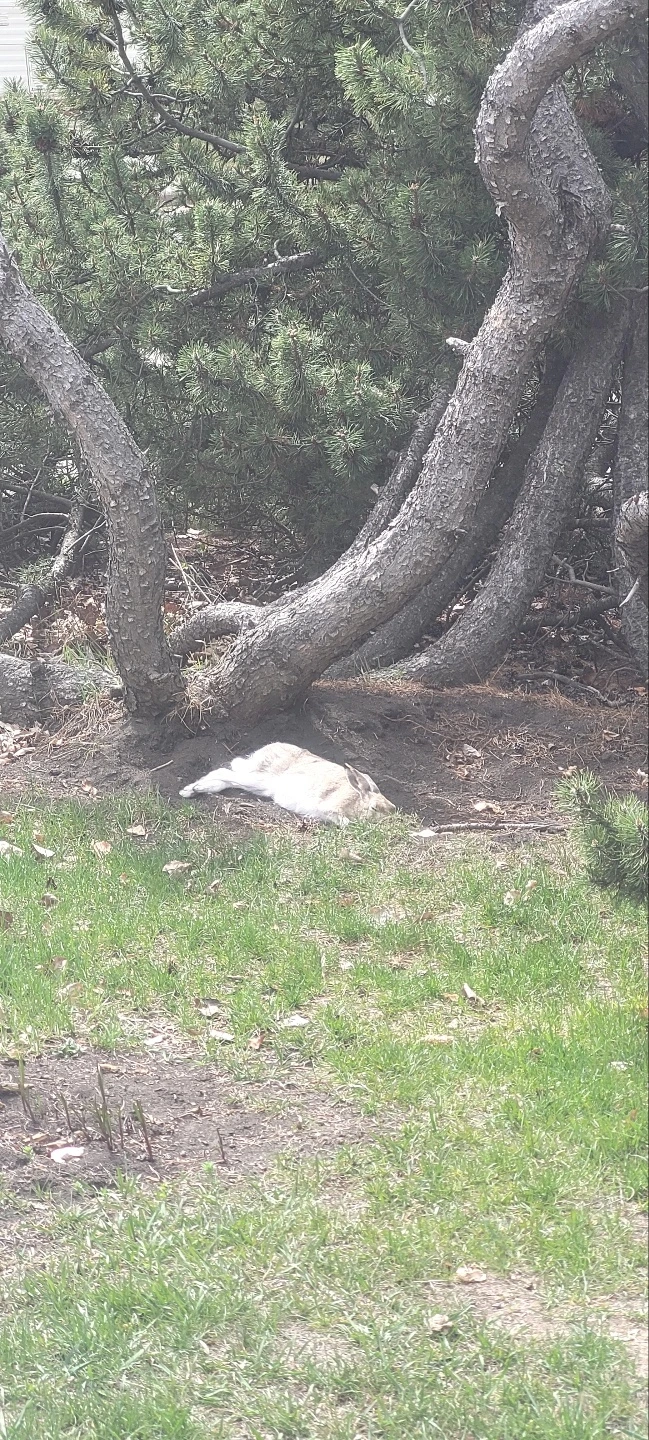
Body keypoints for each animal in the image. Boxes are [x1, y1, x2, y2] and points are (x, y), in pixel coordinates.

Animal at [179, 742, 396, 826]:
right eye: (374, 808)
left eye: (392, 809)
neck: (357, 799)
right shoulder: (331, 808)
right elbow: (343, 821)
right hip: (264, 779)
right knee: (225, 772)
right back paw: (189, 791)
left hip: (261, 786)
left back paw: (194, 789)